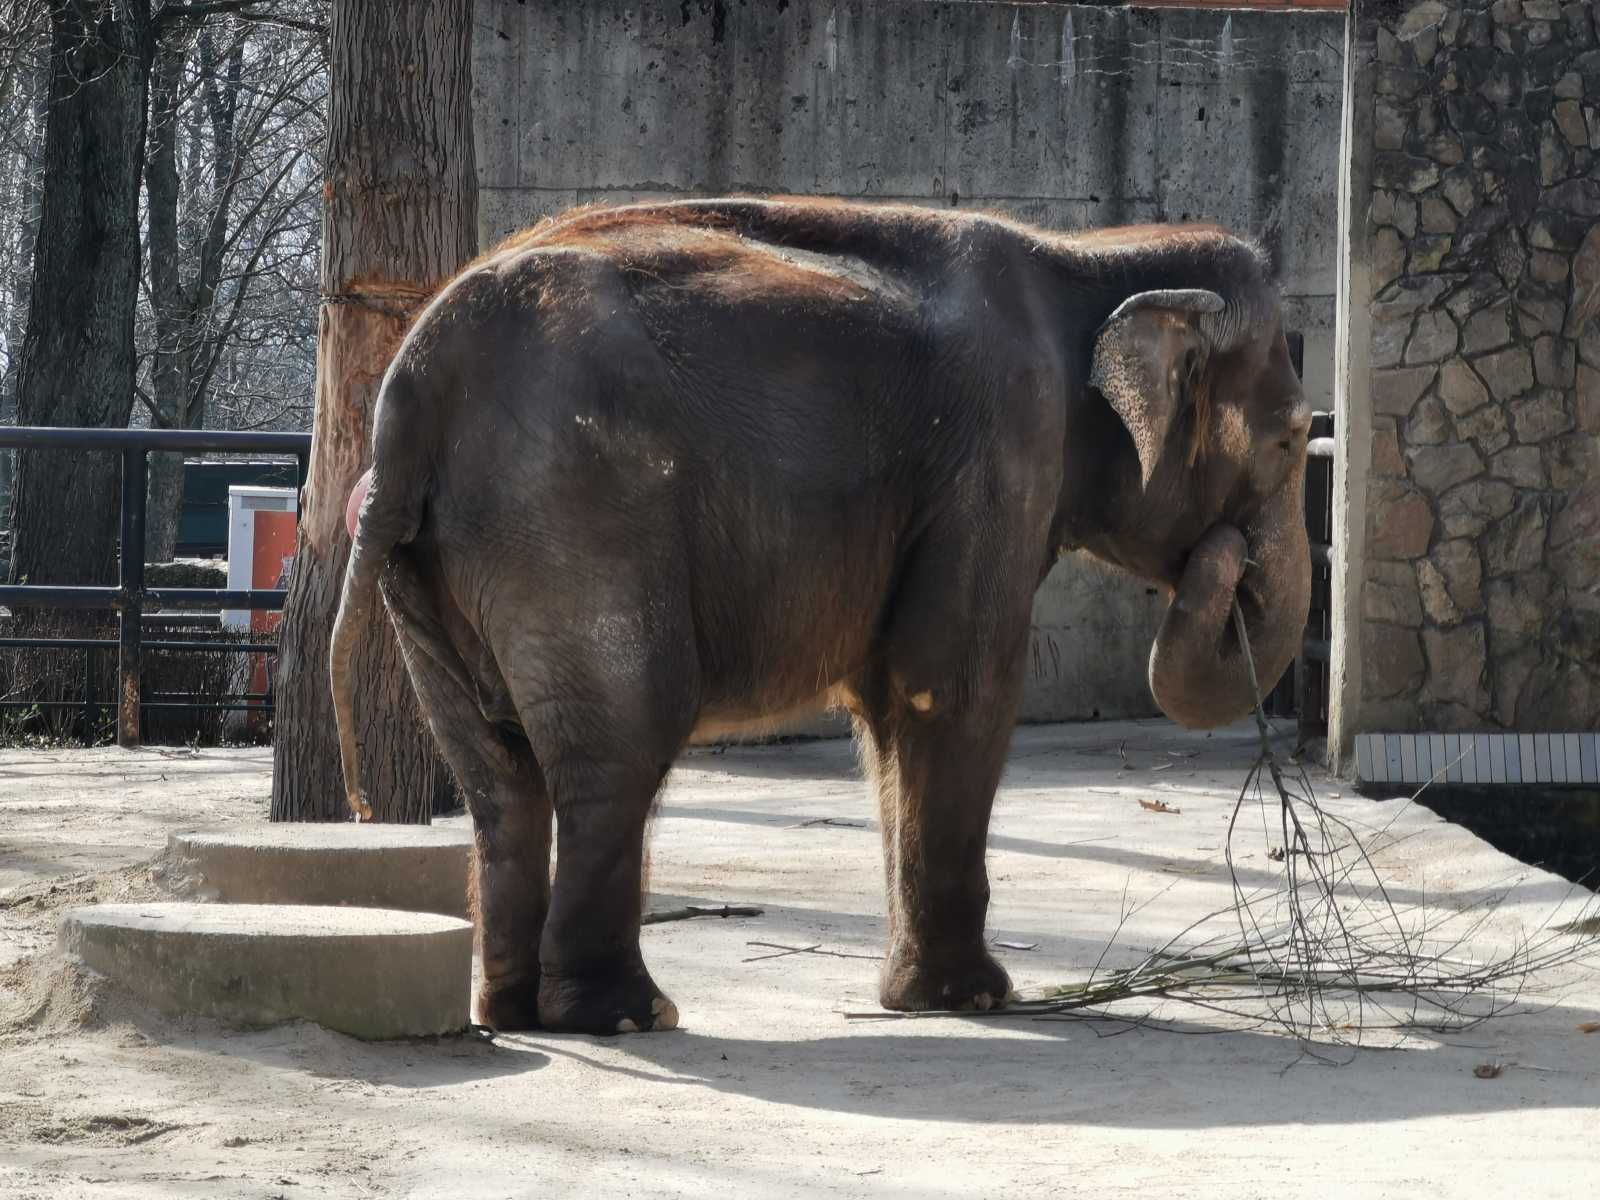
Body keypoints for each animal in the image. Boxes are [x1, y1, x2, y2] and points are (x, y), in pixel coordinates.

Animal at [328, 197, 1312, 1036]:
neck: (1088, 256)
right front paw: (973, 1001)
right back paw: (627, 1016)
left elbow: (889, 702)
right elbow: (952, 688)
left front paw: (926, 999)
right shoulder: (1003, 448)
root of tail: (410, 391)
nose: (1228, 553)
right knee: (621, 744)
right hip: (572, 510)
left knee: (495, 772)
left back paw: (513, 1013)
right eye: (1294, 436)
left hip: (435, 559)